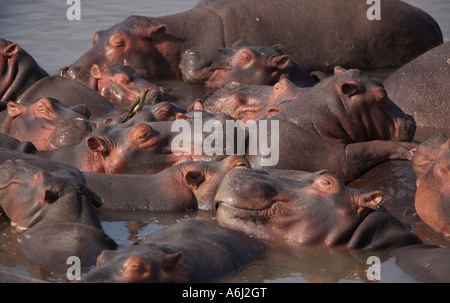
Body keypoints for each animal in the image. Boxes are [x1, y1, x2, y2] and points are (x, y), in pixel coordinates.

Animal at [248, 68, 416, 184]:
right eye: (382, 96)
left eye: (379, 81)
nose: (411, 120)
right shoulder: (339, 159)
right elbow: (371, 147)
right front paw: (410, 150)